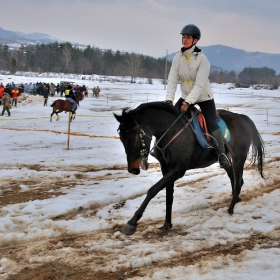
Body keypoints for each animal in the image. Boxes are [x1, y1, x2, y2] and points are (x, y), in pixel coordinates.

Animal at [114, 101, 264, 235]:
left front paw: (132, 222)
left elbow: (153, 190)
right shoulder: (166, 168)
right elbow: (169, 196)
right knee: (235, 179)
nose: (133, 169)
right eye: (121, 138)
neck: (170, 130)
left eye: (133, 139)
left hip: (239, 158)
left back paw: (231, 209)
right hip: (226, 160)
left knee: (238, 182)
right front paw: (167, 224)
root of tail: (242, 118)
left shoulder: (178, 170)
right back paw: (236, 199)